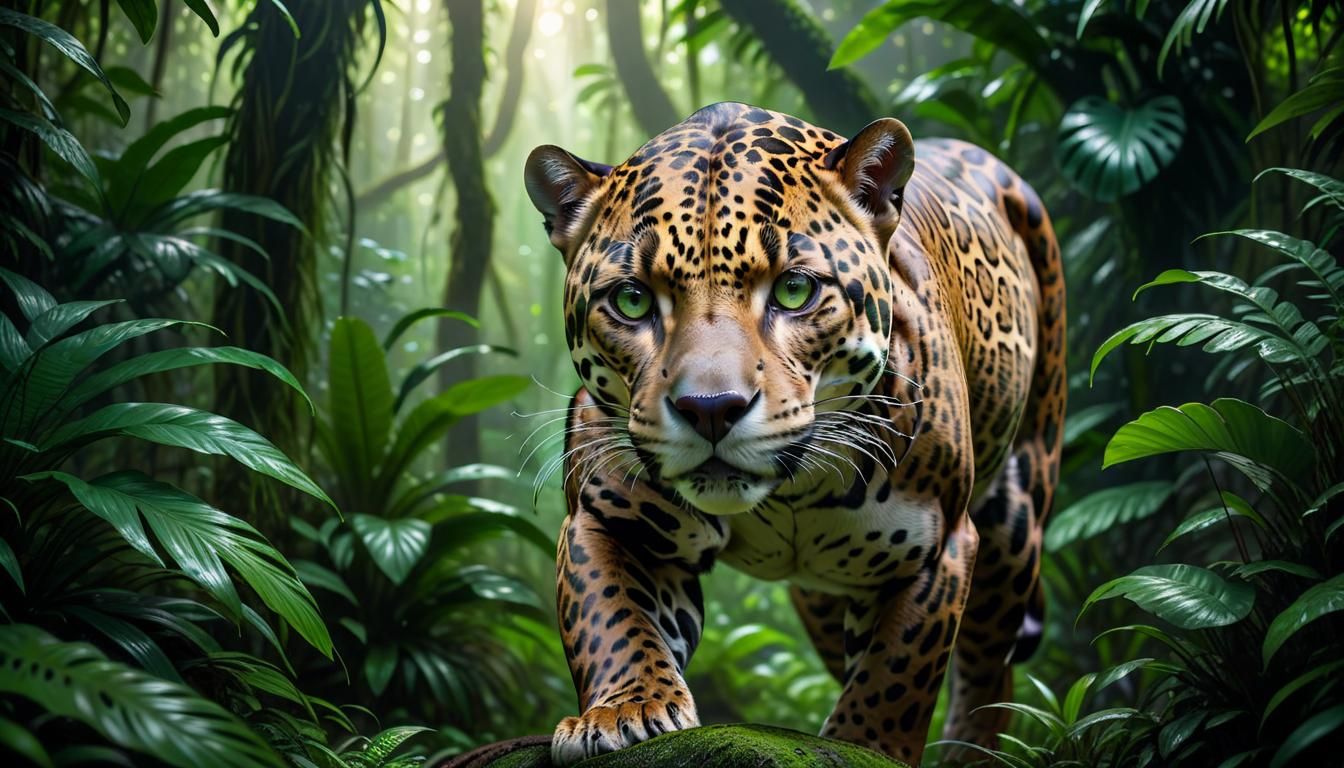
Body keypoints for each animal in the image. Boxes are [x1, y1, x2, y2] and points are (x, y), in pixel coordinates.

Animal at [522, 101, 1065, 766]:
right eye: (631, 300)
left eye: (794, 289)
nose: (711, 409)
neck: (788, 495)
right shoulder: (605, 516)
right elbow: (611, 620)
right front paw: (625, 711)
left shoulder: (938, 549)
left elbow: (896, 674)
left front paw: (866, 745)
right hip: (825, 598)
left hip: (1018, 510)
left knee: (991, 664)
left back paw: (974, 749)